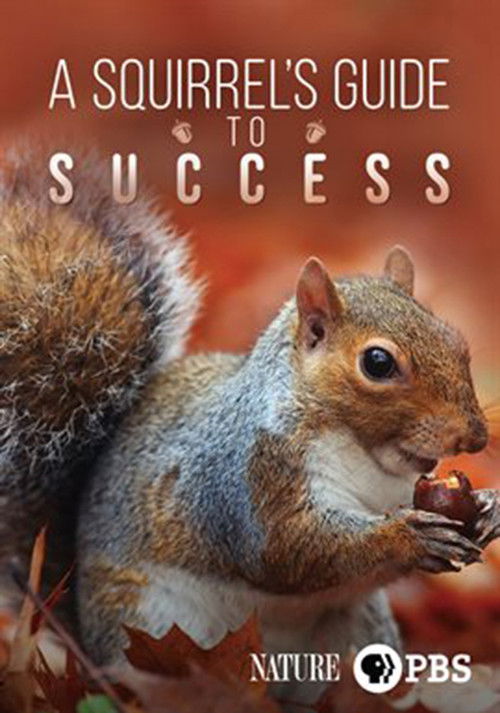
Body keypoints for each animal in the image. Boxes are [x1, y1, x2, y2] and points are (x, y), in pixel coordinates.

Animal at [0, 144, 499, 705]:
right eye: (377, 363)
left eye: (456, 340)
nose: (475, 436)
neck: (368, 457)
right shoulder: (245, 477)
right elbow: (287, 549)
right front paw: (407, 537)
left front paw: (485, 510)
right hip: (150, 627)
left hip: (357, 634)